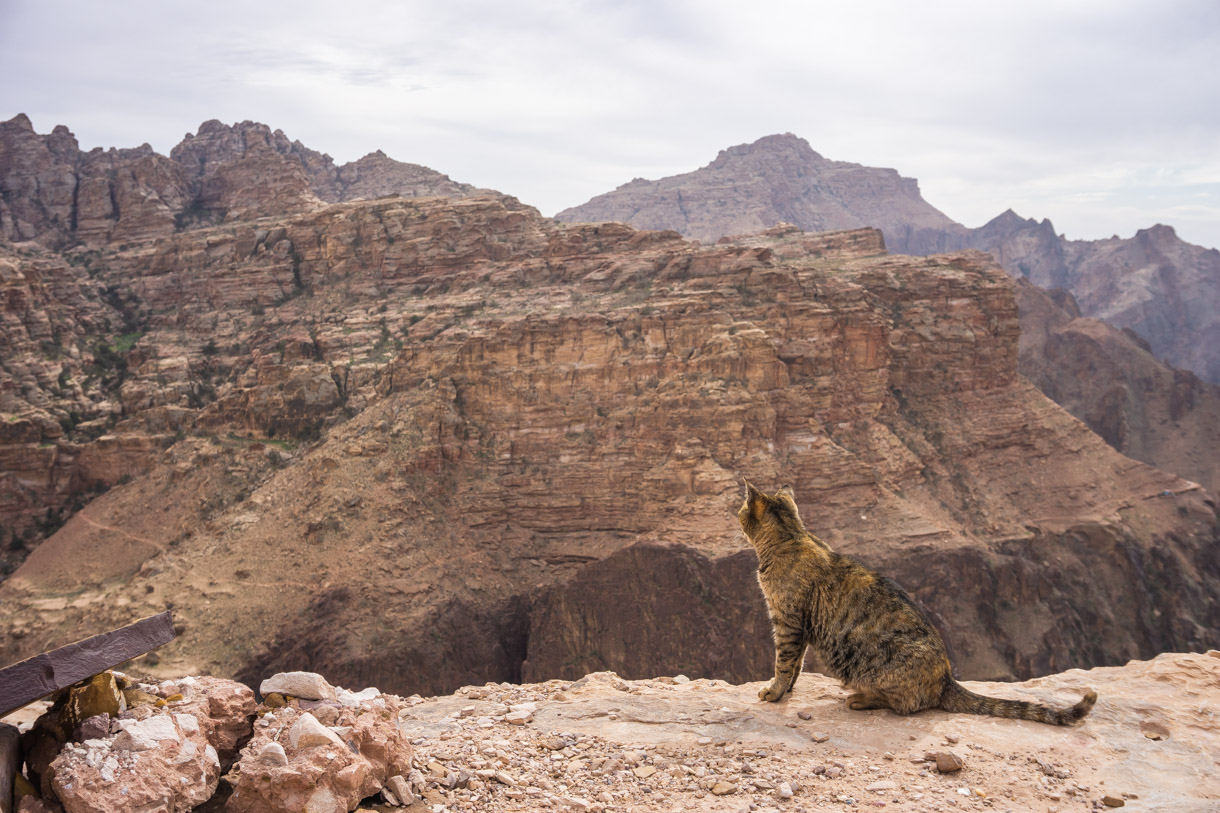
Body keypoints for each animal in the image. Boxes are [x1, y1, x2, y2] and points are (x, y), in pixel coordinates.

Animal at [736, 478, 1102, 722]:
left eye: (741, 508)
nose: (734, 511)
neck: (791, 536)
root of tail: (947, 679)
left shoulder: (787, 621)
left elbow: (784, 662)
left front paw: (775, 691)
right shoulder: (797, 626)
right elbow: (797, 664)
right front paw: (788, 689)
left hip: (879, 661)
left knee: (908, 704)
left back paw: (862, 699)